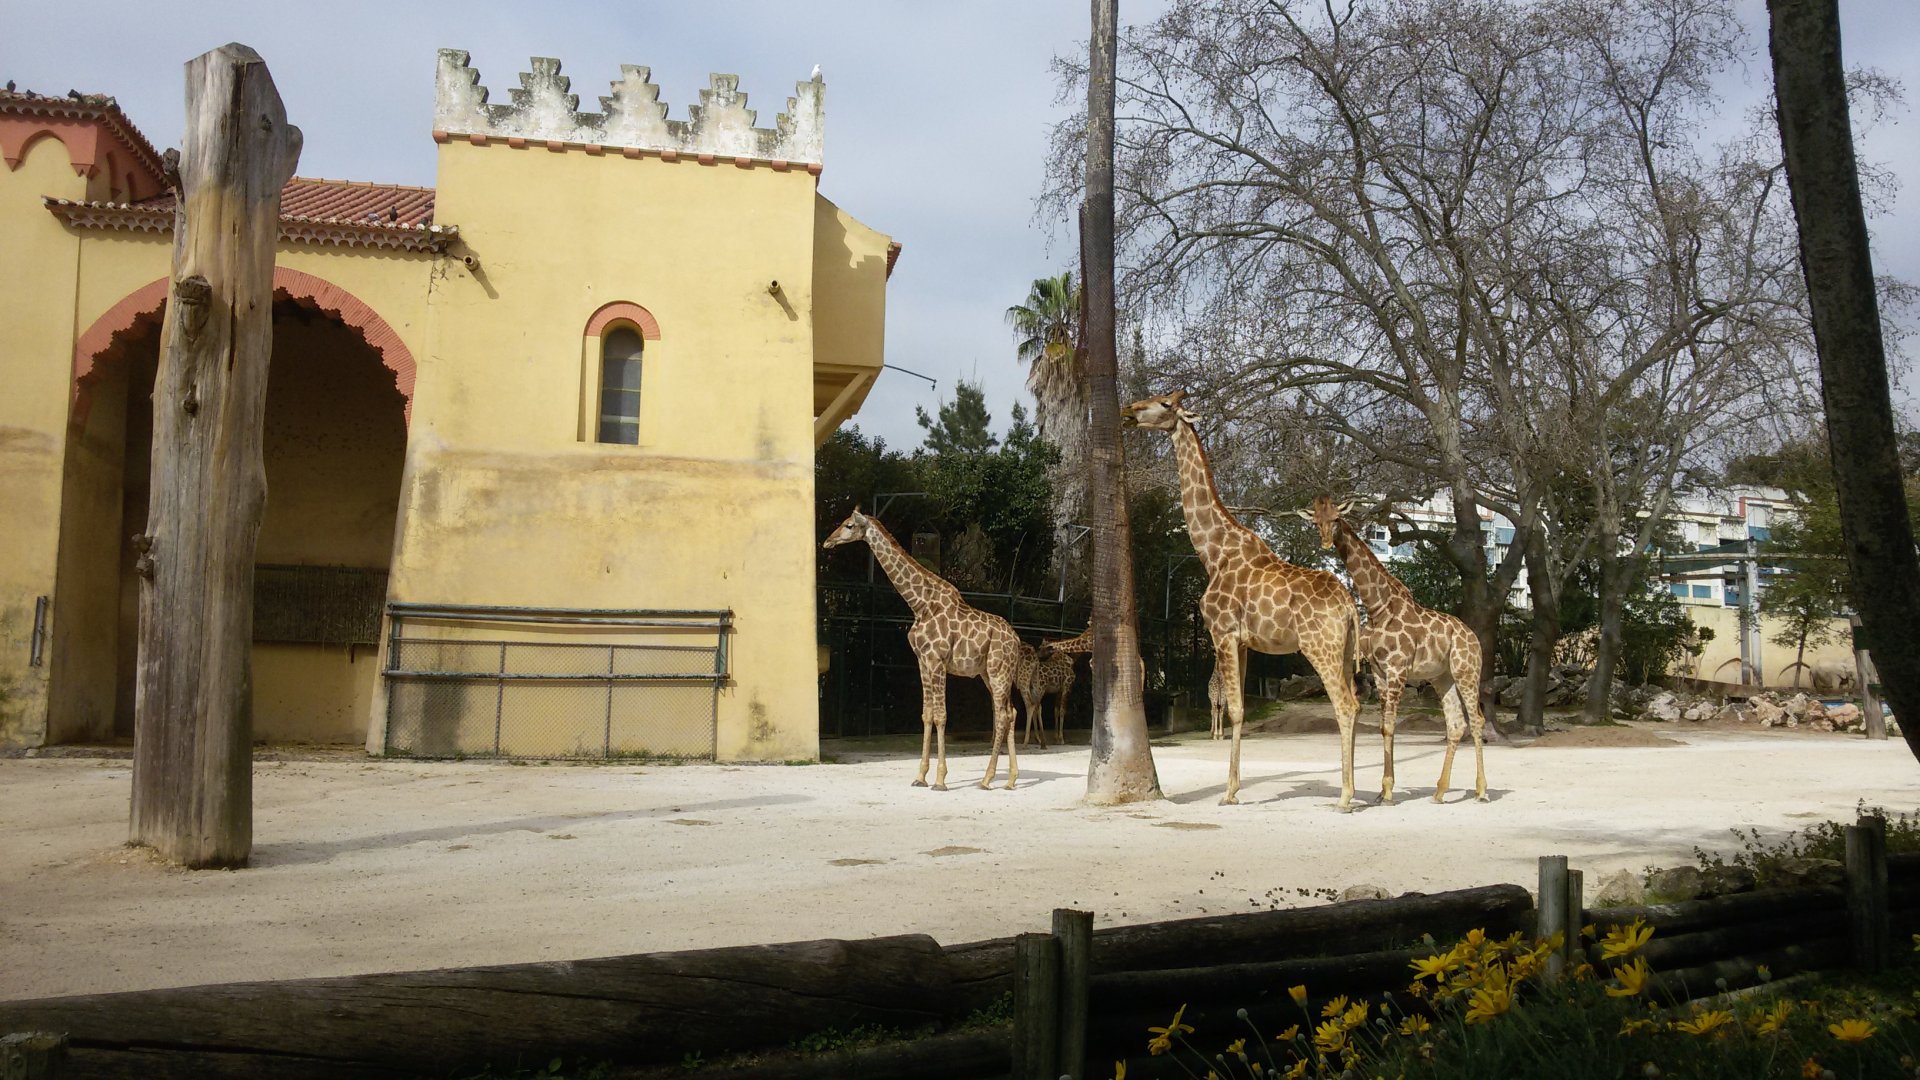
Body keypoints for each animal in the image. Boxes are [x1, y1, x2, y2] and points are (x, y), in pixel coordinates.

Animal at [823, 508, 1024, 790]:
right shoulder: (922, 661)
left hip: (998, 672)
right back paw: (1010, 779)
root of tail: (1016, 640)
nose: (827, 541)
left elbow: (941, 715)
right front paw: (920, 776)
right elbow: (926, 715)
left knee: (1002, 716)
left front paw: (940, 779)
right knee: (1010, 712)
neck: (919, 604)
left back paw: (986, 780)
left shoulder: (937, 660)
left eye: (849, 525)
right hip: (988, 673)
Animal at [1122, 391, 1365, 808]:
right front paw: (1233, 789)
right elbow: (1241, 710)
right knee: (1357, 702)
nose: (1129, 412)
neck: (1212, 551)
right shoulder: (1245, 642)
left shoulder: (1222, 632)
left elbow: (1234, 708)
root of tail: (1349, 605)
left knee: (1345, 705)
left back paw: (1345, 797)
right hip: (1346, 650)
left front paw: (1228, 793)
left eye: (1165, 404)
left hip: (1321, 647)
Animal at [1302, 496, 1489, 803]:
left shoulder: (1398, 669)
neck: (1378, 607)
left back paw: (1482, 790)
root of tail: (1473, 637)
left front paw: (1388, 791)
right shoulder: (1379, 672)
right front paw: (1383, 790)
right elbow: (1383, 727)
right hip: (1443, 677)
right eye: (1316, 521)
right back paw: (1440, 791)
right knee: (1456, 724)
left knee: (1476, 720)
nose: (1327, 542)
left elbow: (1390, 726)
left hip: (1467, 671)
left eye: (1337, 518)